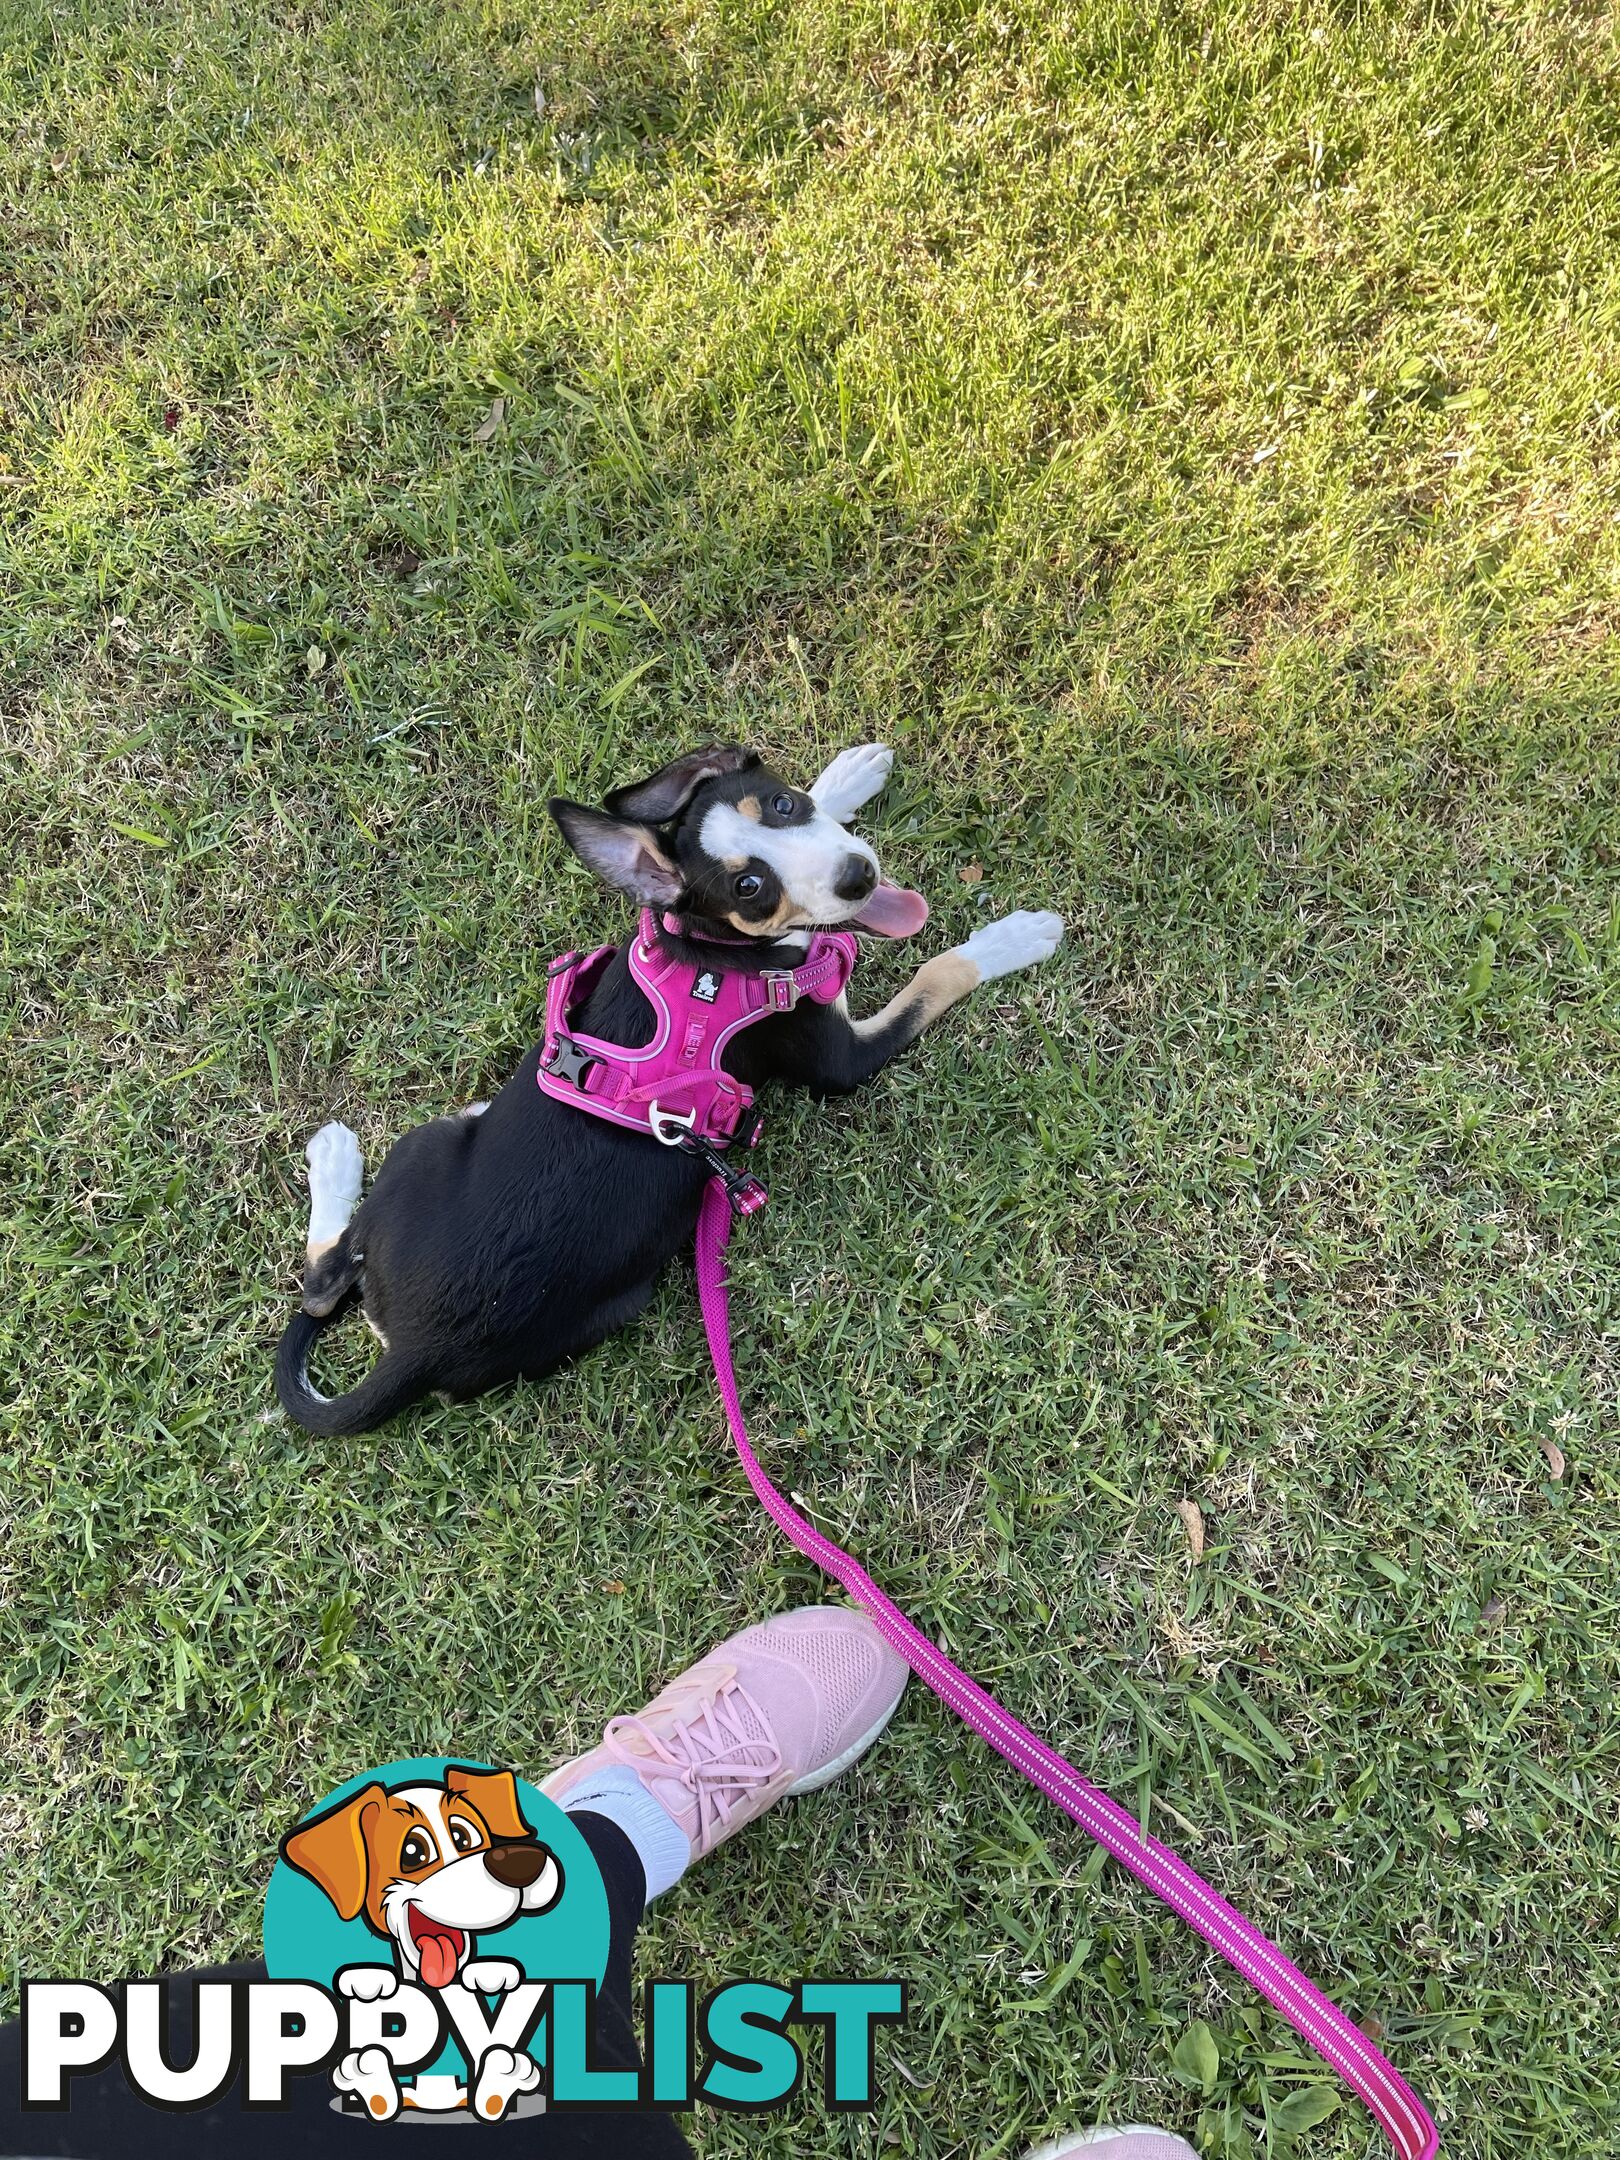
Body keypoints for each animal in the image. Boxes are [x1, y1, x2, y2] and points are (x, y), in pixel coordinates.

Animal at [278, 743, 1067, 1434]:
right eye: (749, 888)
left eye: (782, 804)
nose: (856, 876)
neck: (718, 950)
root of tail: (415, 1351)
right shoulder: (836, 1057)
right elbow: (937, 973)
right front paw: (1014, 938)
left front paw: (848, 774)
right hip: (430, 1146)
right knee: (321, 1282)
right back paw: (334, 1159)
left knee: (322, 1293)